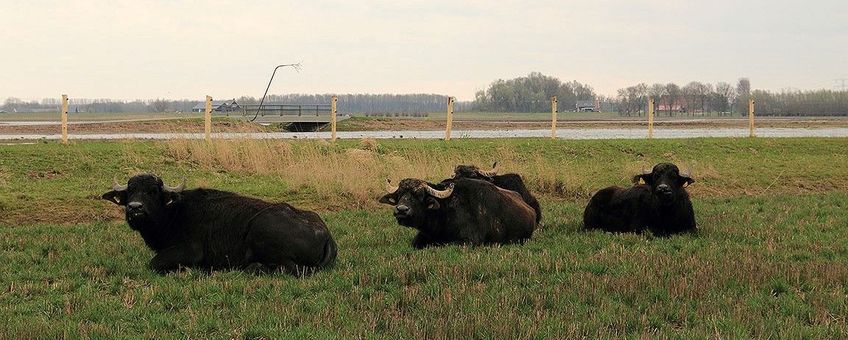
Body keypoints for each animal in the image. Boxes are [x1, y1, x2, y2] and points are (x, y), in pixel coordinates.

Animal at [101, 174, 336, 274]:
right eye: (130, 191)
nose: (135, 208)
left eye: (152, 191)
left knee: (289, 269)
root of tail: (325, 233)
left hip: (261, 231)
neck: (174, 212)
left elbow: (153, 264)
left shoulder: (190, 251)